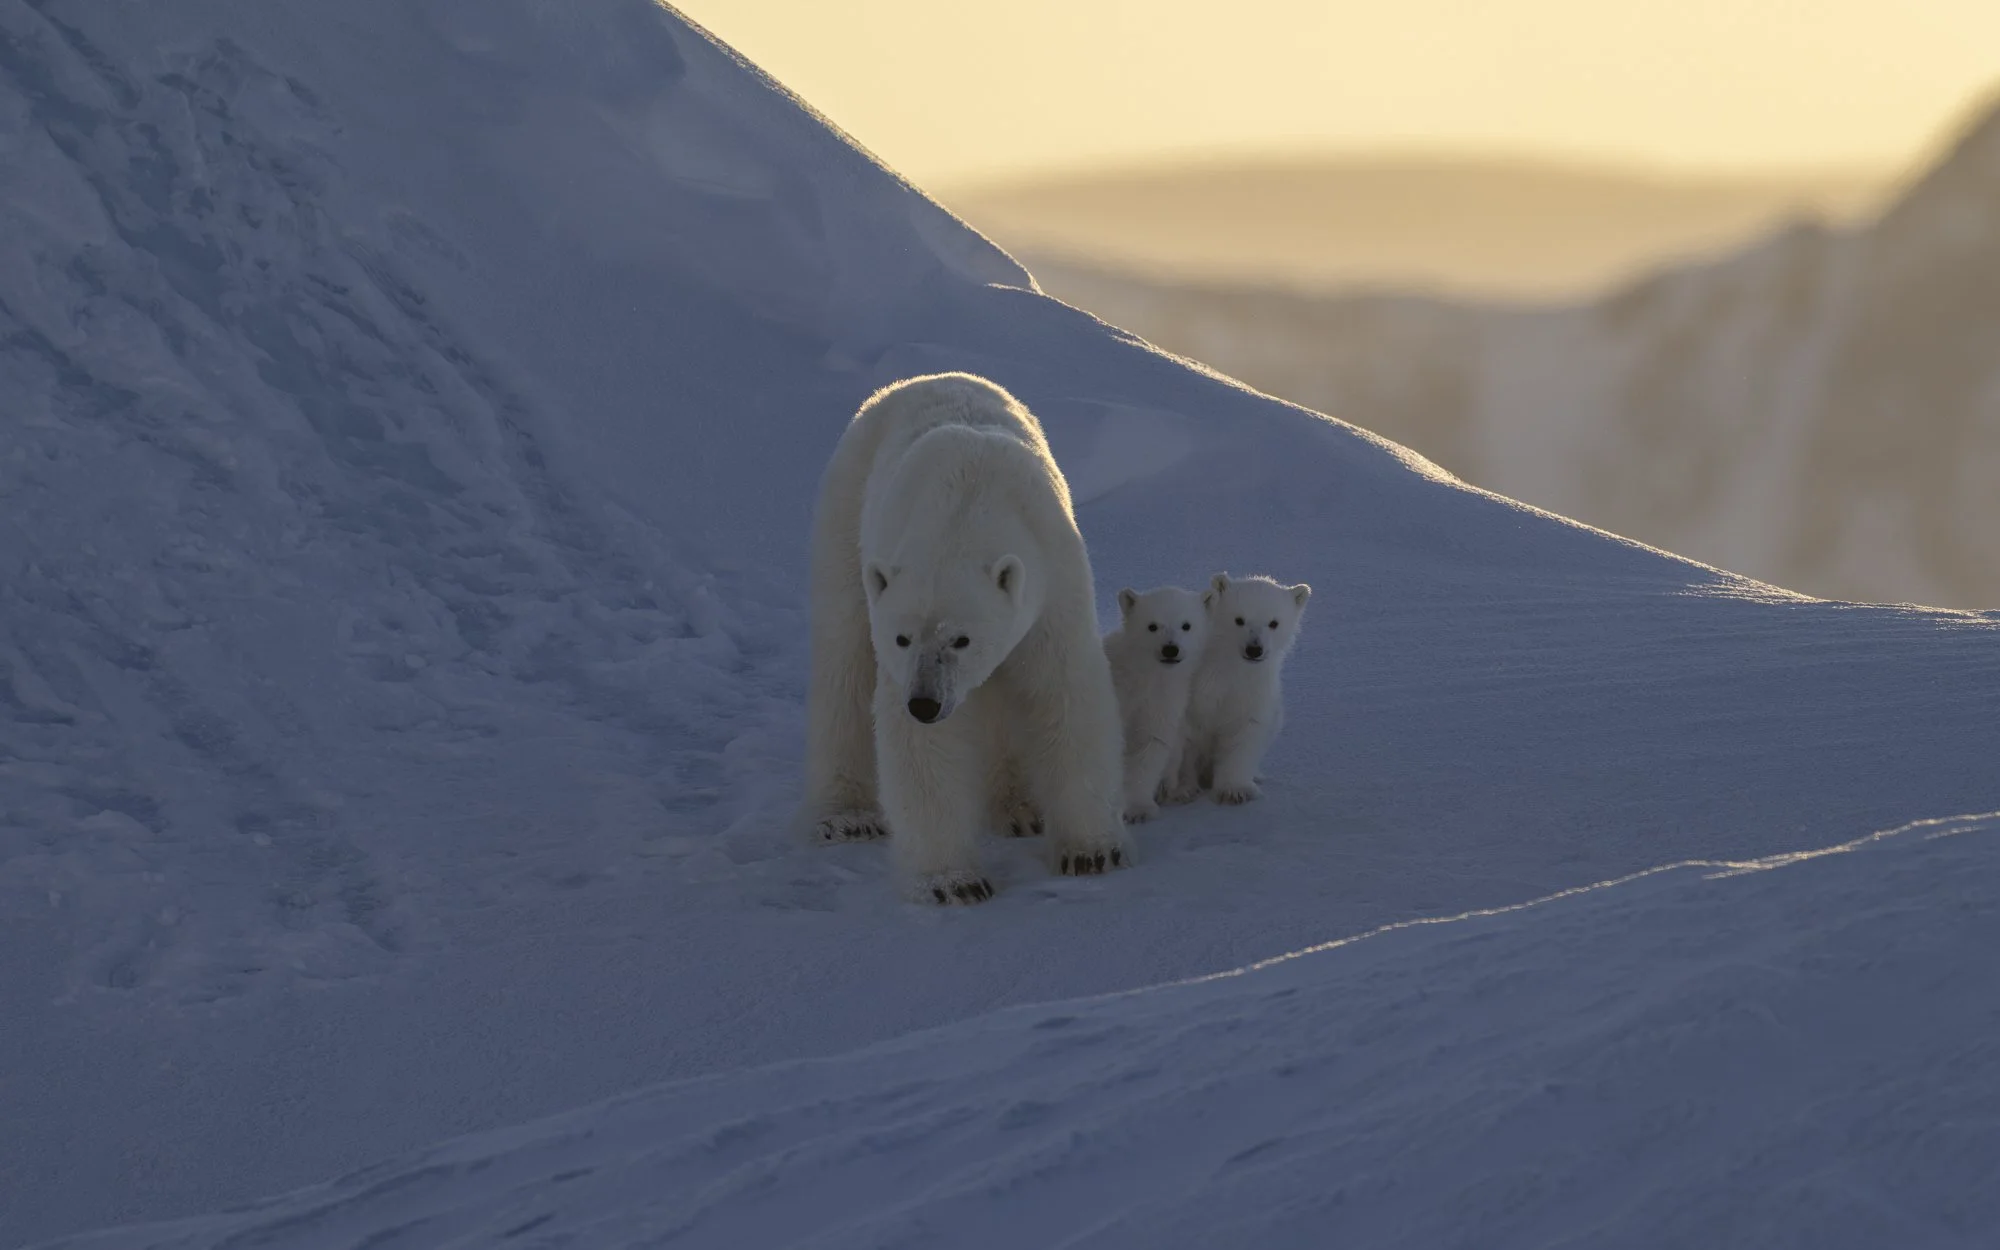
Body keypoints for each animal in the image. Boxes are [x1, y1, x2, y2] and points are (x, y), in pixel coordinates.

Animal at [799, 372, 1129, 903]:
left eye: (961, 640)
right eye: (902, 639)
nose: (925, 703)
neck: (968, 503)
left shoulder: (1052, 582)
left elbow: (1063, 694)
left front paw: (1090, 852)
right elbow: (922, 747)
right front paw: (954, 883)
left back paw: (1017, 809)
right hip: (847, 512)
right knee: (843, 659)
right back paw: (845, 817)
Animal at [1103, 585, 1213, 824]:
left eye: (1186, 625)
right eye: (1152, 626)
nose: (1170, 649)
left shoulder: (1163, 702)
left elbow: (1150, 747)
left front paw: (1139, 809)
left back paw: (1179, 791)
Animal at [1168, 572, 1312, 806]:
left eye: (1273, 623)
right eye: (1239, 620)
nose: (1254, 649)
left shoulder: (1251, 691)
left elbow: (1243, 734)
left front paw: (1235, 791)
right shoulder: (1194, 691)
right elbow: (1184, 738)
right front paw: (1183, 789)